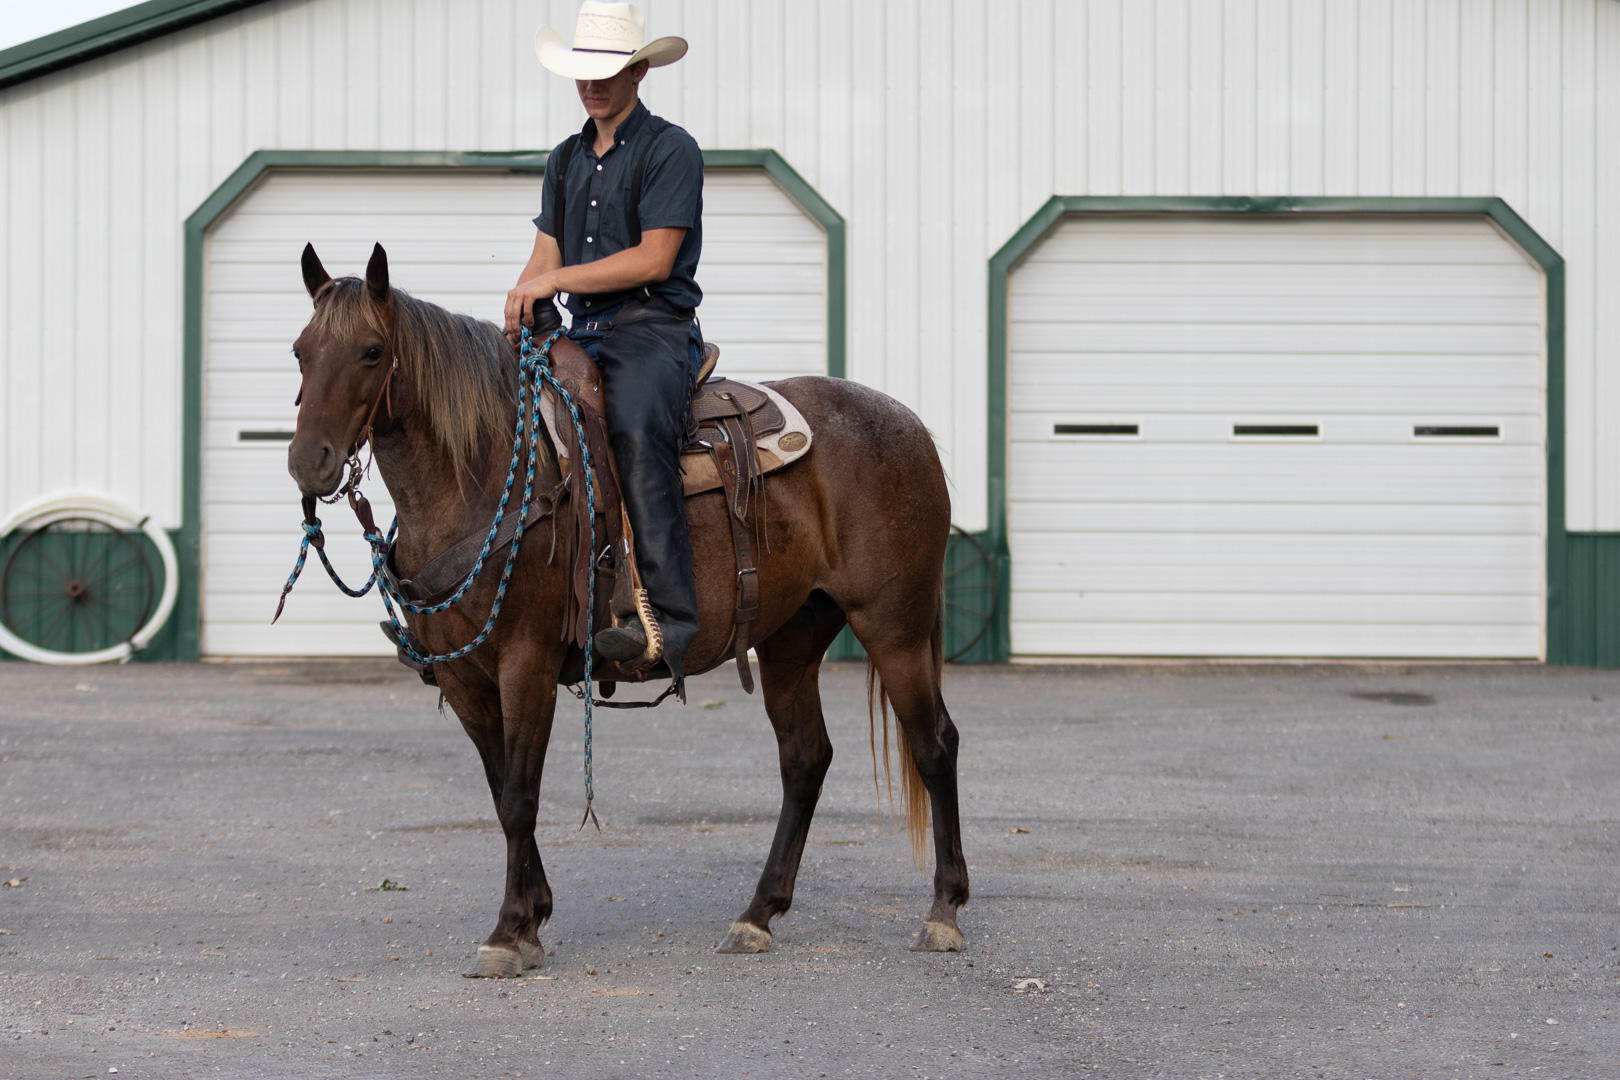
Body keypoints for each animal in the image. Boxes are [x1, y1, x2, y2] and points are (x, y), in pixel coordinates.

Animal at [285, 244, 967, 977]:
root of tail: (911, 427)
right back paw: (758, 914)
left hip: (893, 625)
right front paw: (533, 916)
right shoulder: (464, 677)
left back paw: (943, 911)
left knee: (934, 745)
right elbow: (500, 793)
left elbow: (521, 796)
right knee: (805, 760)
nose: (308, 461)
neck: (482, 479)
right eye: (300, 351)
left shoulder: (526, 663)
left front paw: (508, 930)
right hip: (793, 636)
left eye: (372, 351)